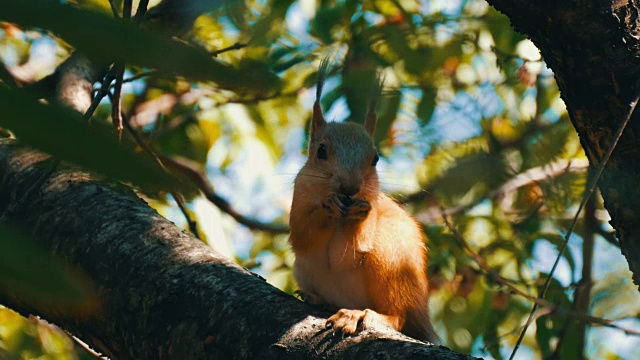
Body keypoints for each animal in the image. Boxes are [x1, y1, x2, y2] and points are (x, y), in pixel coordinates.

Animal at [290, 59, 440, 344]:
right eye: (321, 151)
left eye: (376, 159)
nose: (350, 188)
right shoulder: (299, 196)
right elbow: (302, 236)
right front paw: (328, 207)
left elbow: (348, 255)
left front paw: (360, 213)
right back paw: (319, 299)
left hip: (391, 259)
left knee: (397, 316)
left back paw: (357, 314)